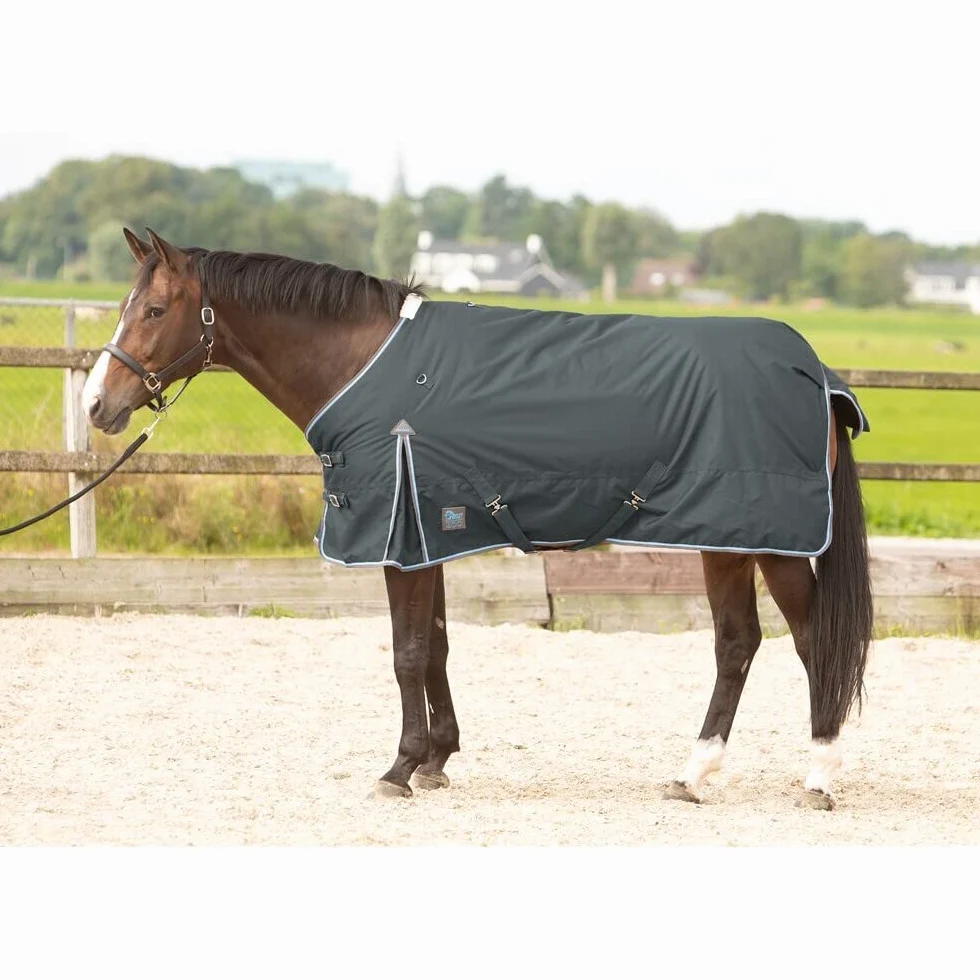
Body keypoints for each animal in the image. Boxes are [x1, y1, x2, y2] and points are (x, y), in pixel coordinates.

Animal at [82, 228, 874, 809]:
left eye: (153, 311)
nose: (97, 404)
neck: (366, 365)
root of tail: (816, 374)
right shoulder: (427, 530)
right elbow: (435, 647)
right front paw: (437, 759)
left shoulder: (399, 538)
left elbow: (405, 653)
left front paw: (398, 768)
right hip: (726, 538)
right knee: (738, 644)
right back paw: (693, 773)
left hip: (767, 539)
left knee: (811, 642)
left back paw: (819, 776)